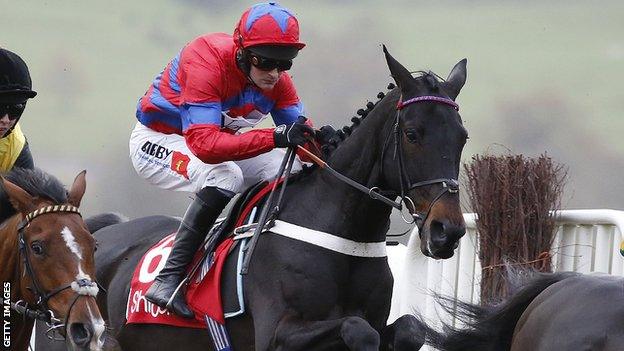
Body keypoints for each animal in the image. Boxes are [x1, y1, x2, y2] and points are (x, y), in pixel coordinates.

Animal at [62, 47, 468, 351]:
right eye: (412, 134)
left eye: (462, 137)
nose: (447, 231)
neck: (338, 231)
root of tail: (104, 231)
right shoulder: (277, 334)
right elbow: (357, 329)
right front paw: (290, 133)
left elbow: (410, 328)